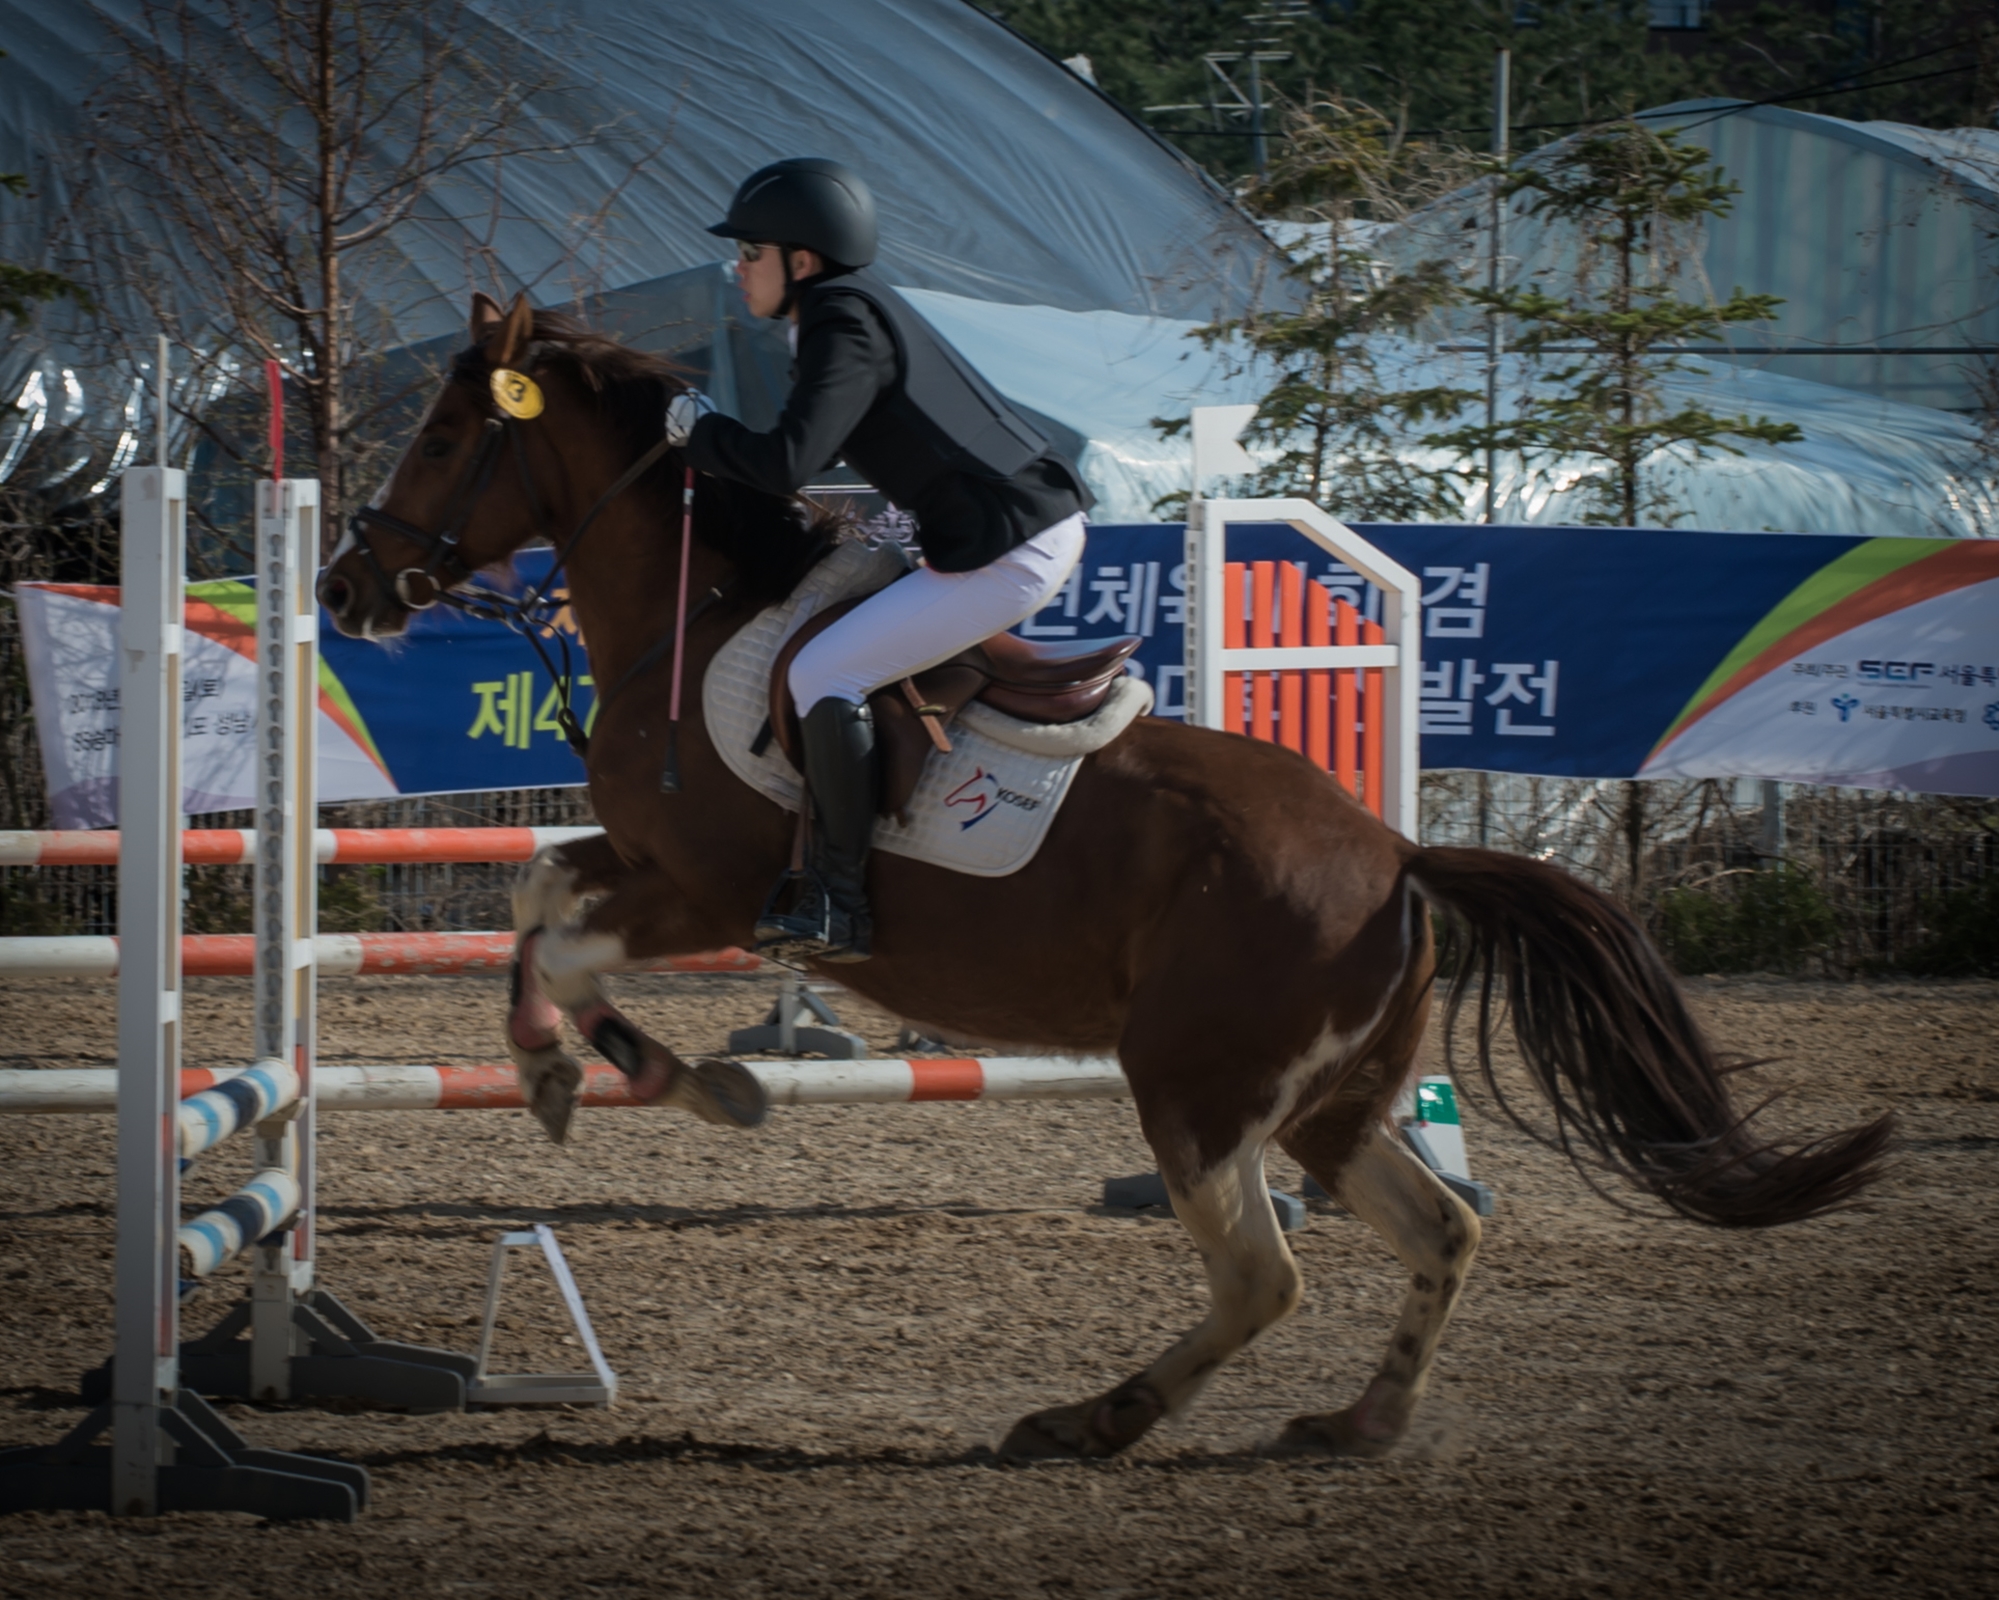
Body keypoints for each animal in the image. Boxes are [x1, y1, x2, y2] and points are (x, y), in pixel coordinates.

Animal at [315, 290, 1887, 1464]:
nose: (345, 590)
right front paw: (607, 1070)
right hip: (1323, 1101)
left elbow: (565, 934)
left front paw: (636, 1077)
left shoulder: (702, 890)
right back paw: (1354, 1422)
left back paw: (1089, 1419)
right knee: (1436, 1226)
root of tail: (1394, 857)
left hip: (1192, 1083)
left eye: (445, 434)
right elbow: (535, 895)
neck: (695, 610)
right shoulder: (640, 861)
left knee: (1263, 1274)